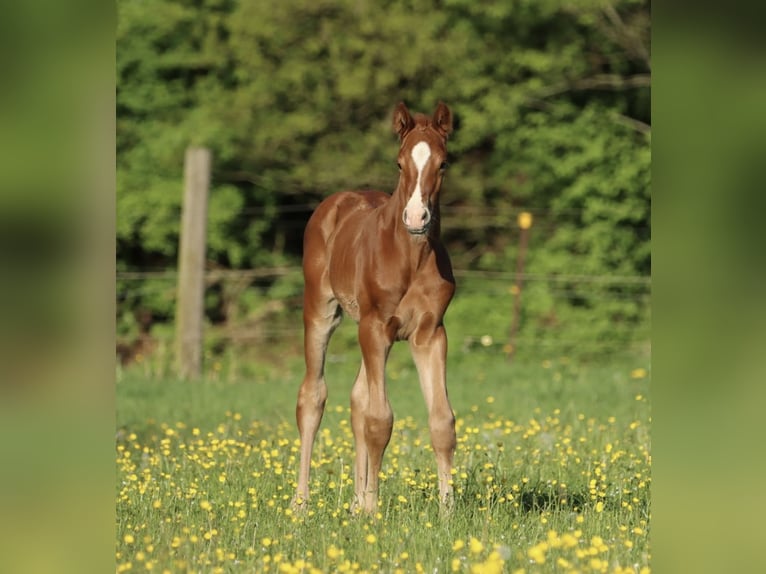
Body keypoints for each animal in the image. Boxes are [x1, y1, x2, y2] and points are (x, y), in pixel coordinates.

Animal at [293, 102, 457, 514]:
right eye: (399, 163)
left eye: (444, 163)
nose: (416, 218)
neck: (410, 257)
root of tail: (334, 201)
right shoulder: (376, 327)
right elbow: (379, 420)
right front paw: (371, 510)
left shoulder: (430, 333)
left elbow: (441, 421)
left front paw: (448, 510)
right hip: (322, 311)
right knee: (312, 397)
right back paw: (301, 502)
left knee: (357, 400)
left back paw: (353, 502)